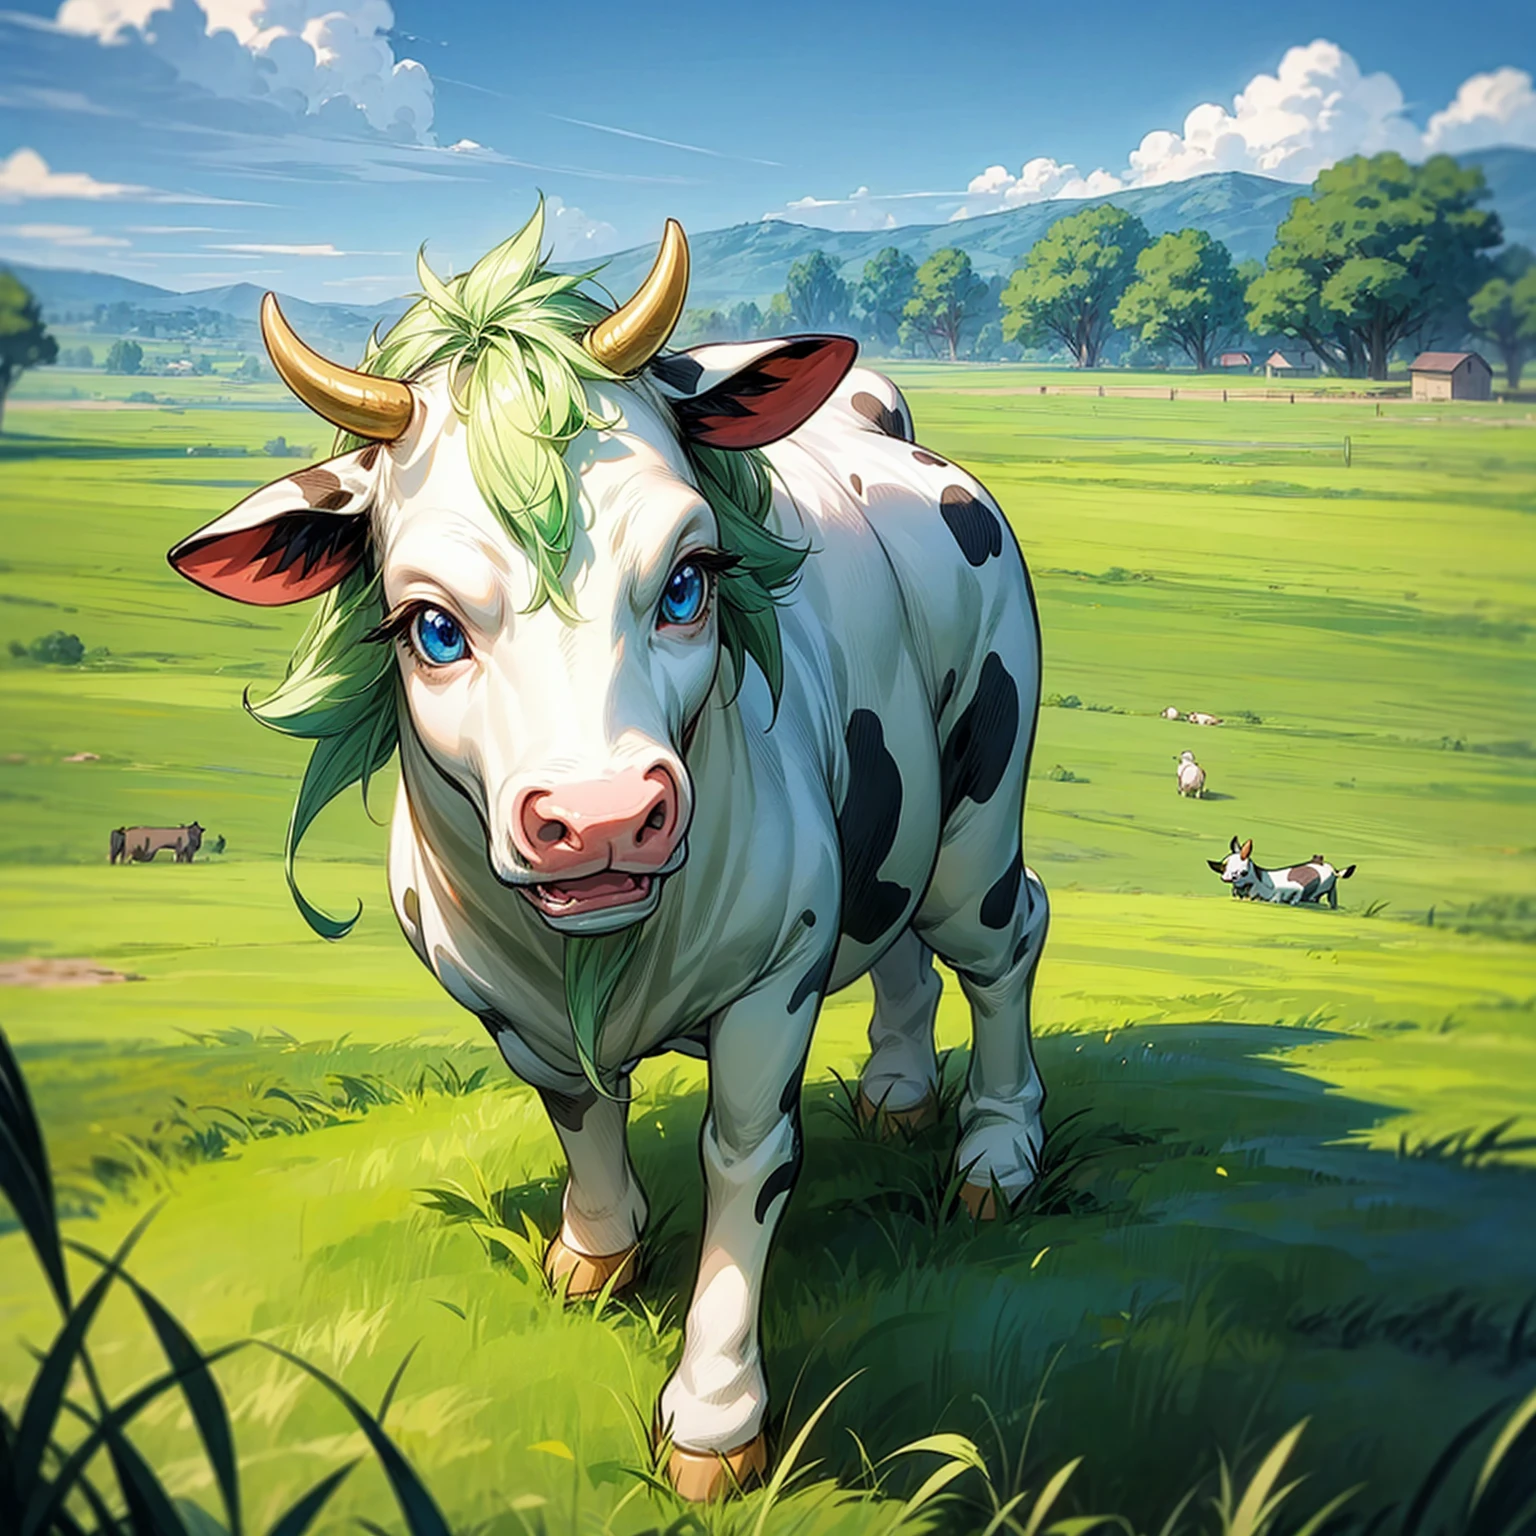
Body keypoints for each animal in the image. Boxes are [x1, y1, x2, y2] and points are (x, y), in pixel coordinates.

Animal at [165, 206, 1049, 1500]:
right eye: (430, 626)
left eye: (687, 581)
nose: (601, 816)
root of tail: (881, 426)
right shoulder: (506, 1001)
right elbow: (576, 1110)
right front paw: (596, 1253)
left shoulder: (774, 976)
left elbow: (745, 1157)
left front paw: (715, 1425)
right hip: (900, 820)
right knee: (896, 942)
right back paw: (896, 1089)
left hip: (979, 805)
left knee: (1002, 940)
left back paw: (995, 1149)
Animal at [1208, 837, 1356, 906]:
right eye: (1223, 868)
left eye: (1243, 872)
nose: (1227, 878)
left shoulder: (1295, 888)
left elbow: (1293, 896)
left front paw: (1293, 902)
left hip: (1330, 891)